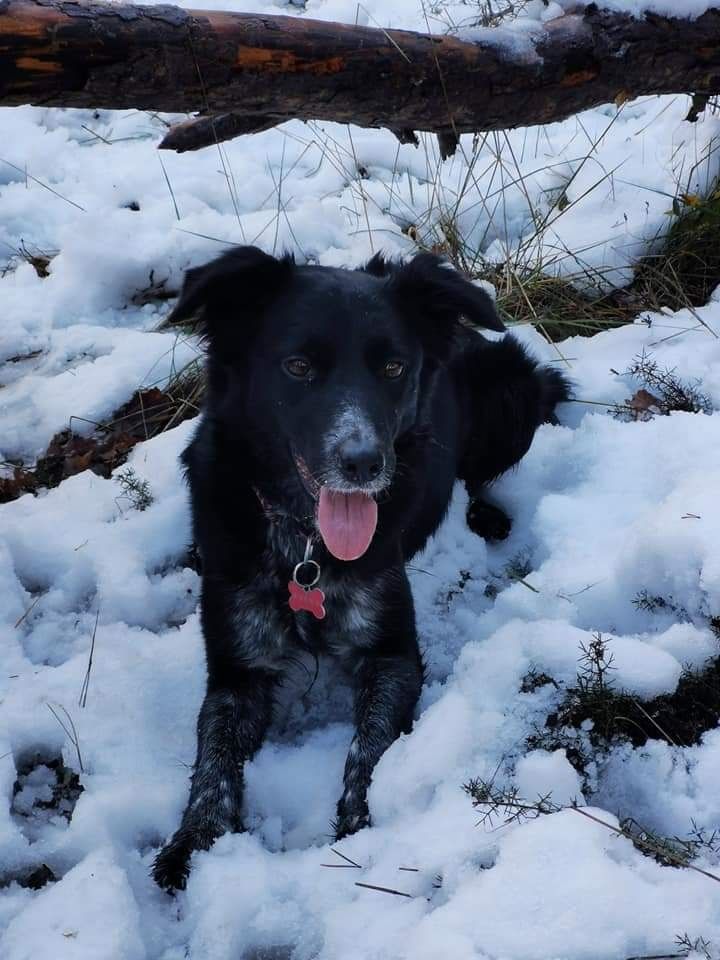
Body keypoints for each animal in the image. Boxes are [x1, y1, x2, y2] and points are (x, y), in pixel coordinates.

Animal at [152, 248, 568, 892]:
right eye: (297, 366)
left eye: (394, 368)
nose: (365, 463)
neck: (305, 546)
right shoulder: (236, 669)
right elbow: (212, 763)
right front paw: (191, 847)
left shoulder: (392, 652)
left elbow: (368, 750)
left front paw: (356, 831)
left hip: (513, 390)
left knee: (479, 474)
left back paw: (488, 515)